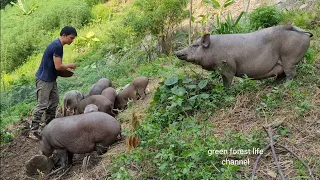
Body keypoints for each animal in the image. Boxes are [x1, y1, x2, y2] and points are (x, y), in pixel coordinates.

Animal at [174, 25, 312, 87]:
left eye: (195, 45)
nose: (176, 52)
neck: (213, 49)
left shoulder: (227, 66)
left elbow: (227, 81)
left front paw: (227, 91)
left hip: (289, 58)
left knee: (290, 74)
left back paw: (285, 85)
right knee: (281, 74)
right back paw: (272, 84)